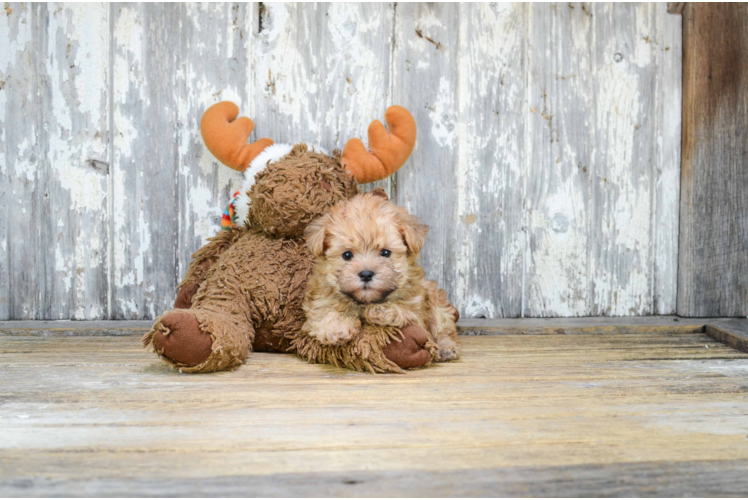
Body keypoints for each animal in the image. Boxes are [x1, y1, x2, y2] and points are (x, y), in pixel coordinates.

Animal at [300, 189, 458, 362]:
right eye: (347, 255)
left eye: (385, 253)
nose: (366, 274)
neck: (364, 302)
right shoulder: (319, 300)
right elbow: (324, 313)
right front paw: (337, 328)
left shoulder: (416, 308)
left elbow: (404, 309)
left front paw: (381, 311)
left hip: (434, 299)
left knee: (444, 327)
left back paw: (445, 348)